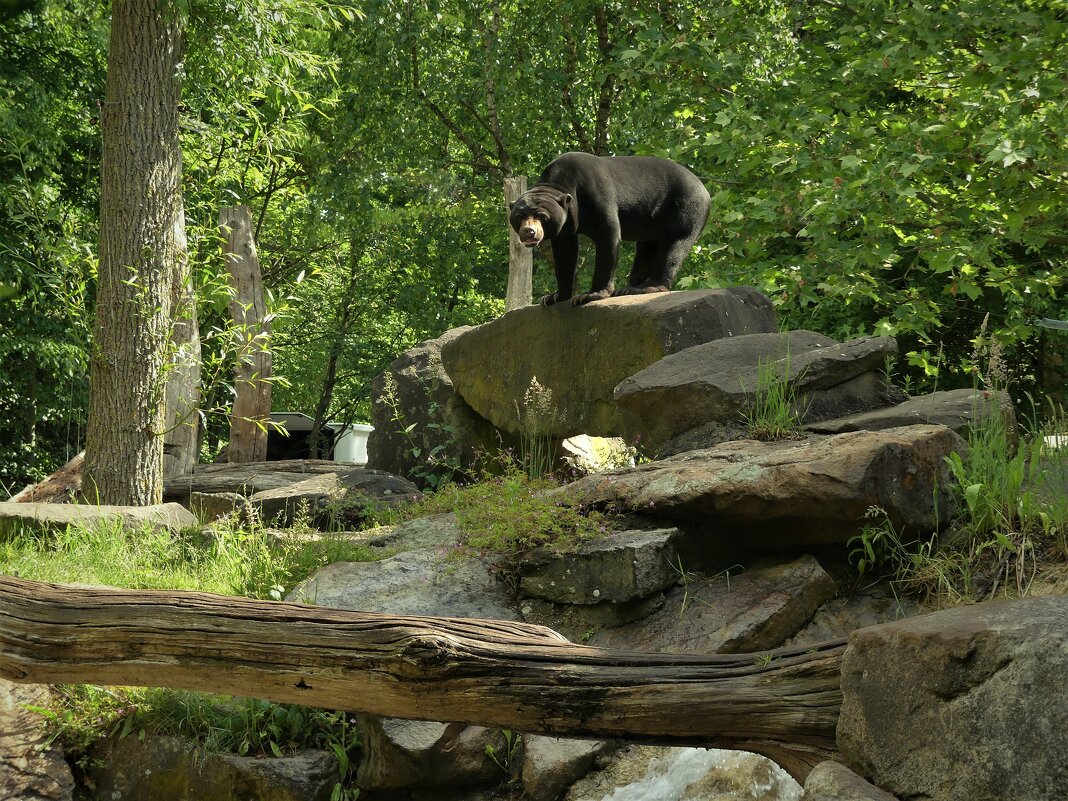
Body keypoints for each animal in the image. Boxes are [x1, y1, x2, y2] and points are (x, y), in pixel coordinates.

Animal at [508, 152, 709, 307]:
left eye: (542, 216)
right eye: (519, 217)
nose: (529, 231)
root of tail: (705, 190)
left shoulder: (596, 196)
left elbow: (608, 236)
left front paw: (589, 295)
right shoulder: (565, 226)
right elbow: (564, 252)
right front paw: (553, 297)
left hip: (686, 207)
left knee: (674, 245)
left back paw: (648, 286)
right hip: (652, 221)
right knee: (647, 247)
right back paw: (630, 287)